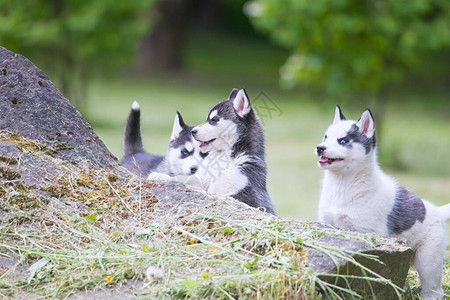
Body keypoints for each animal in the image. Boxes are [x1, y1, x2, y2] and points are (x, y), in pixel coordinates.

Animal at [316, 105, 450, 298]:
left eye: (343, 141)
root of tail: (437, 211)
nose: (319, 148)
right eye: (326, 137)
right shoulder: (328, 223)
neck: (343, 185)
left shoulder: (366, 231)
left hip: (428, 261)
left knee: (434, 289)